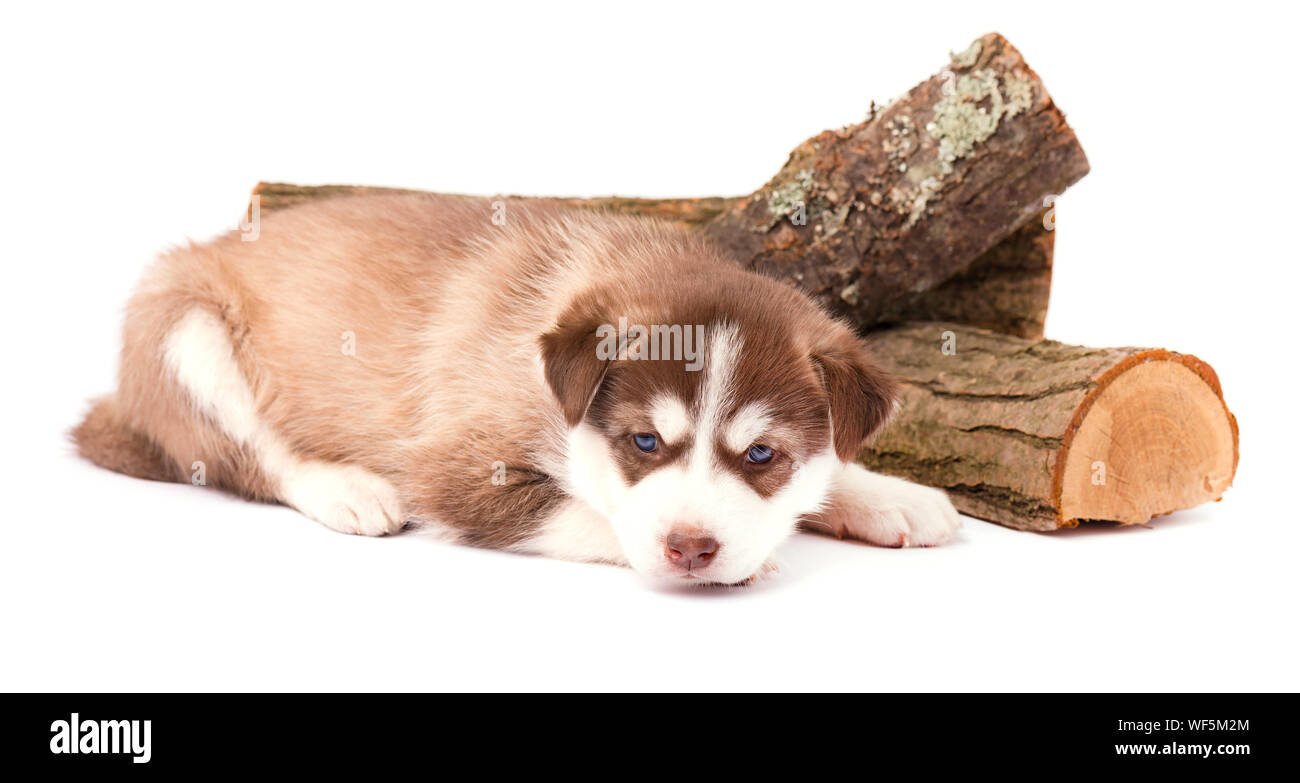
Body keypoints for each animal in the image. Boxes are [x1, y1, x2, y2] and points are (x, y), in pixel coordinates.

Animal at [76, 192, 961, 582]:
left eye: (764, 455)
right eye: (644, 441)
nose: (692, 549)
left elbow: (831, 464)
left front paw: (886, 493)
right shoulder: (455, 467)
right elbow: (591, 515)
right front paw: (749, 555)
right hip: (184, 327)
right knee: (250, 454)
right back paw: (342, 487)